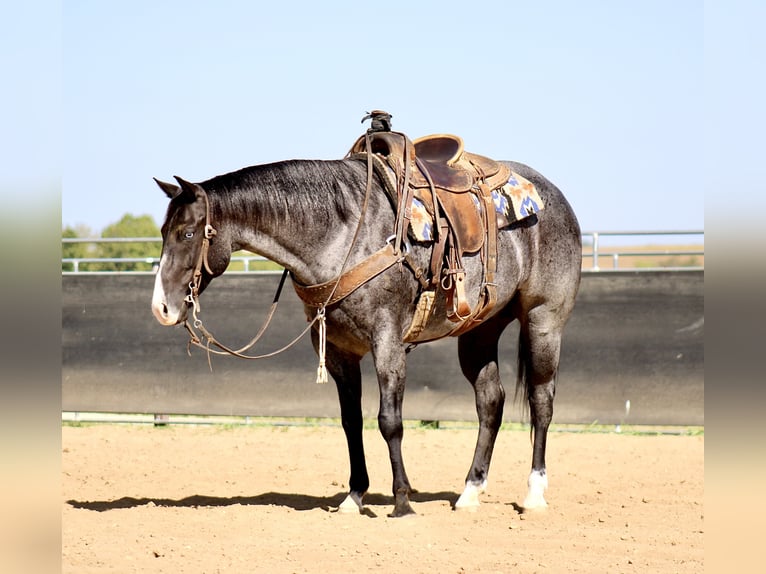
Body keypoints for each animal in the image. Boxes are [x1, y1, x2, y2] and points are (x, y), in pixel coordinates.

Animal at [150, 133, 584, 520]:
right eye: (163, 232)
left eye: (187, 232)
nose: (162, 308)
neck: (342, 235)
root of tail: (554, 197)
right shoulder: (338, 352)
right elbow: (351, 422)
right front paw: (354, 496)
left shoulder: (388, 343)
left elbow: (389, 421)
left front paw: (402, 501)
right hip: (480, 331)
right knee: (490, 401)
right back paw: (470, 492)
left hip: (544, 321)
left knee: (542, 400)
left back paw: (534, 494)